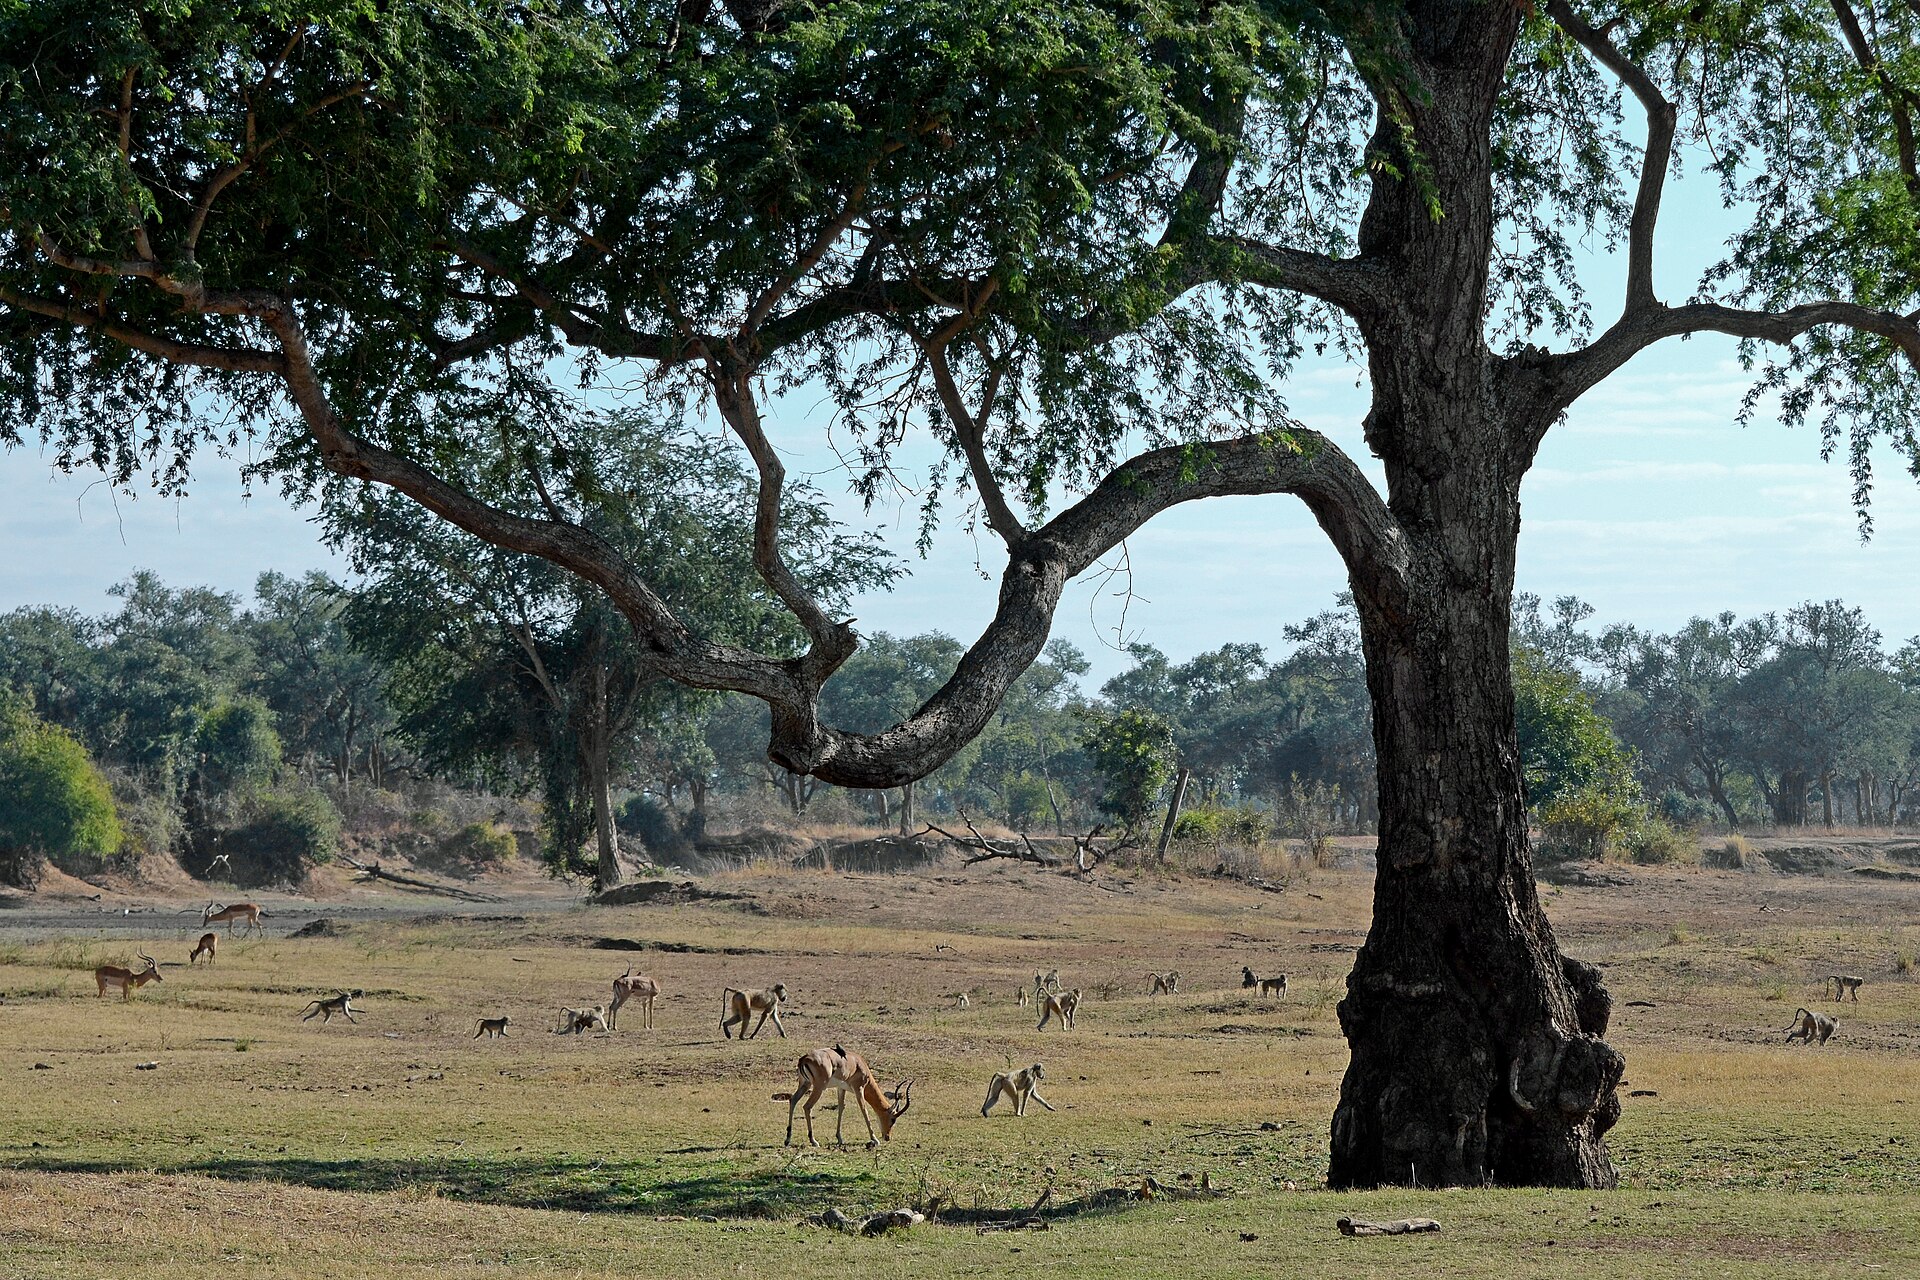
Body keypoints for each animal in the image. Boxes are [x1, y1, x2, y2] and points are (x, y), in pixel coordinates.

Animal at [775, 1045, 912, 1148]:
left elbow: (841, 1108)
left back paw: (787, 1139)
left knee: (793, 1100)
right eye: (893, 1119)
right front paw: (874, 1139)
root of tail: (804, 1059)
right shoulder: (859, 1089)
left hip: (805, 1084)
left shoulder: (841, 1088)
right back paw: (813, 1141)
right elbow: (864, 1110)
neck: (857, 1064)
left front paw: (840, 1138)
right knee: (807, 1106)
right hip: (819, 1087)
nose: (887, 1137)